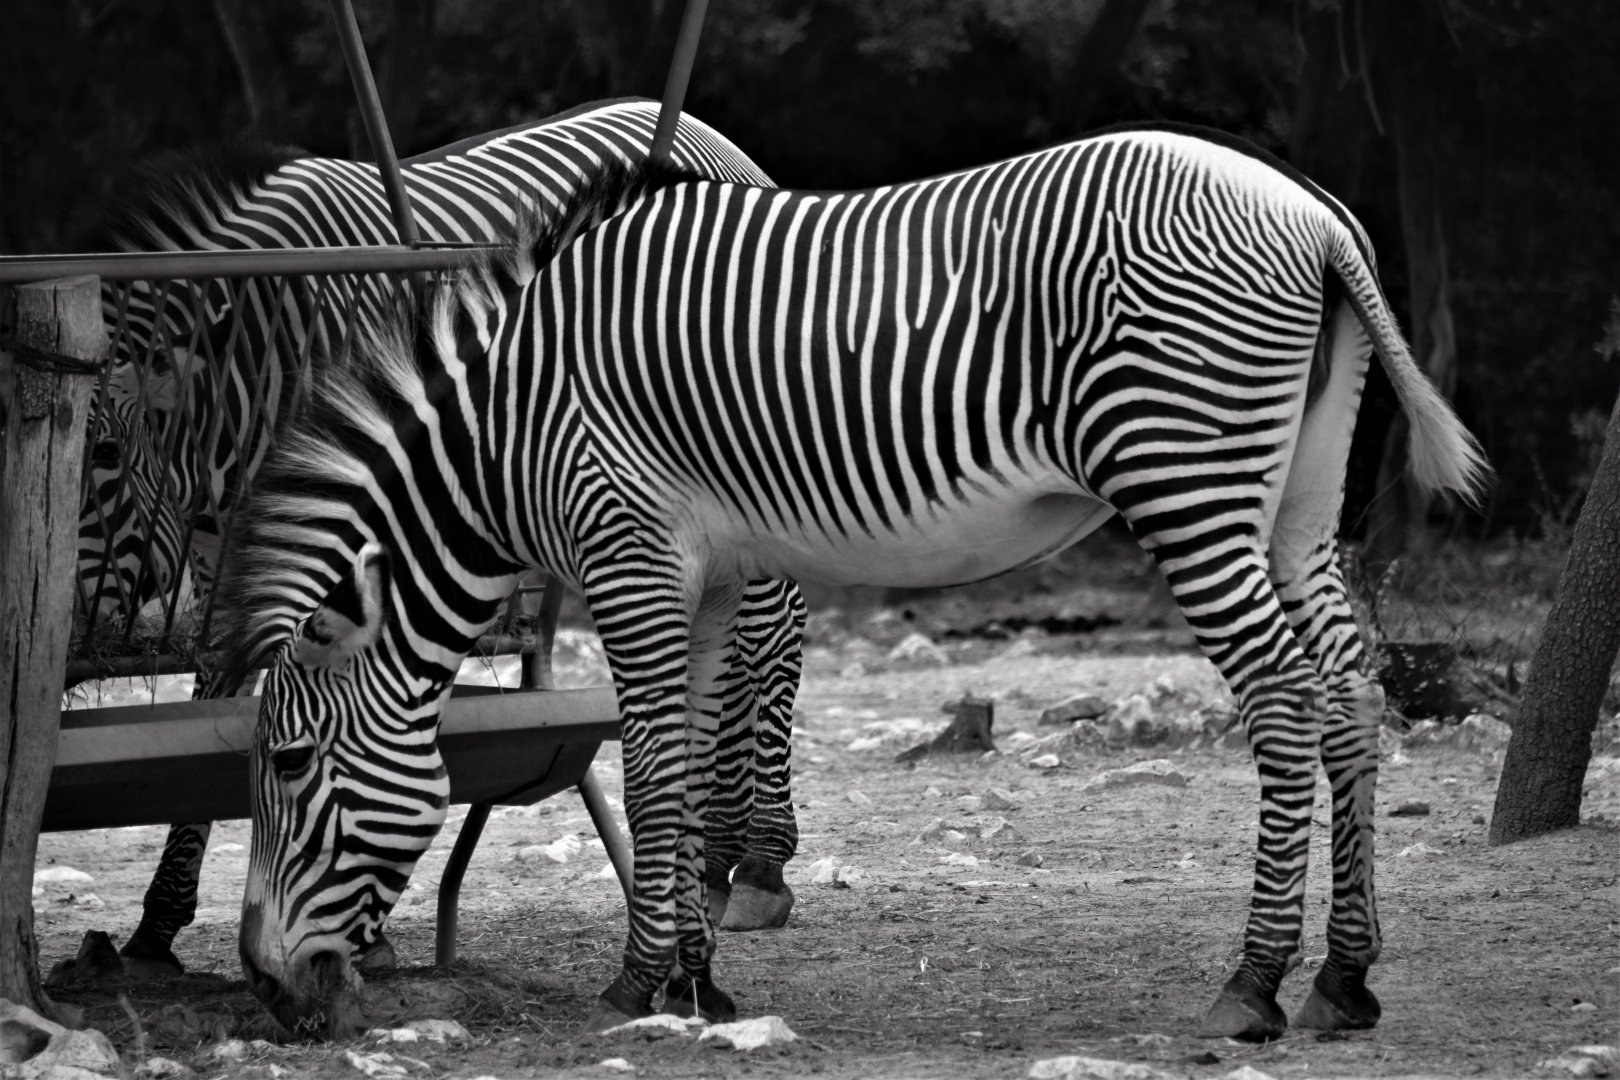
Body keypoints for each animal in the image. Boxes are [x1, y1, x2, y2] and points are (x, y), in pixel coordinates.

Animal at [70, 99, 804, 978]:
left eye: (103, 453)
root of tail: (706, 133)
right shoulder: (238, 560)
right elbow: (229, 700)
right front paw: (158, 924)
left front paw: (366, 932)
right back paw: (720, 858)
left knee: (772, 638)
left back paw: (758, 861)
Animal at [220, 124, 1488, 1041]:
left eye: (287, 763)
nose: (268, 991)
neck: (504, 425)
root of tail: (1312, 213)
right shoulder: (704, 576)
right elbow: (685, 766)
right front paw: (697, 981)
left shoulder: (628, 553)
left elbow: (651, 776)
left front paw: (637, 982)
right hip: (1298, 498)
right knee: (1350, 691)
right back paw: (1344, 980)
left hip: (1187, 479)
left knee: (1283, 698)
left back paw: (1255, 981)